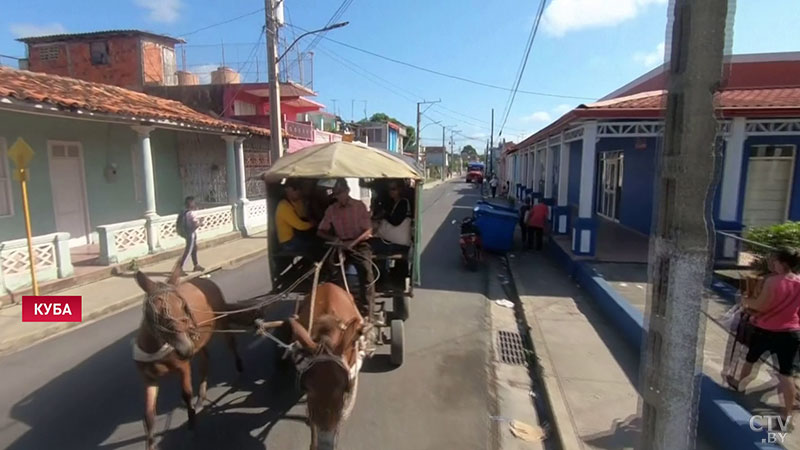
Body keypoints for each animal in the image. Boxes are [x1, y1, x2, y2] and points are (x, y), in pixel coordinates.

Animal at [134, 266, 244, 450]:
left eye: (183, 305)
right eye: (157, 314)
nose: (186, 348)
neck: (157, 348)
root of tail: (204, 280)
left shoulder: (183, 367)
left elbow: (186, 395)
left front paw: (192, 425)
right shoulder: (148, 377)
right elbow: (148, 413)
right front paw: (150, 445)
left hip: (221, 322)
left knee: (231, 344)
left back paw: (239, 370)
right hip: (200, 340)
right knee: (206, 359)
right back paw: (201, 398)